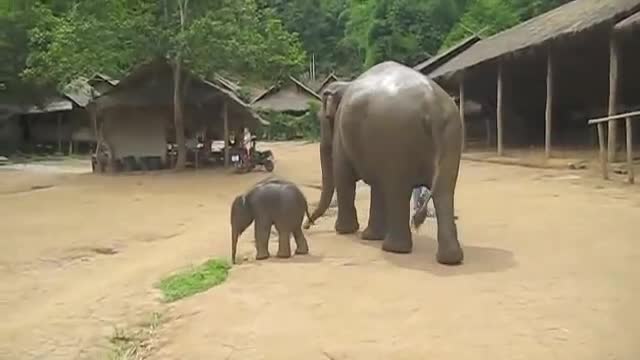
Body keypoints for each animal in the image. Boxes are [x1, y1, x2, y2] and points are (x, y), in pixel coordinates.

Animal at [306, 61, 464, 264]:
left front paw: (345, 231)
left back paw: (393, 249)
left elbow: (343, 176)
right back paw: (450, 259)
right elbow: (376, 185)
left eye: (324, 119)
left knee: (398, 189)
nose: (307, 225)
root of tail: (432, 104)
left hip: (398, 139)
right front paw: (370, 236)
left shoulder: (342, 133)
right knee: (444, 191)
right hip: (451, 135)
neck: (346, 84)